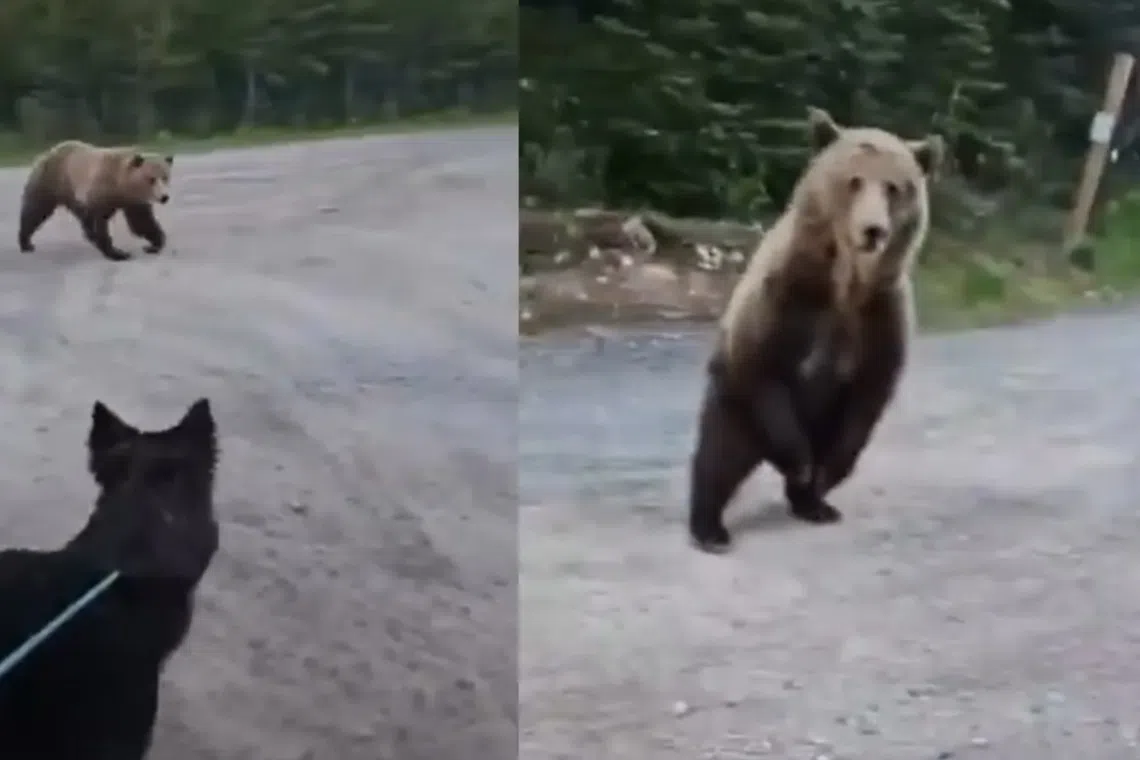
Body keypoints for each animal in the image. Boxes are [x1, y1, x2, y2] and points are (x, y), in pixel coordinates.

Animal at [18, 140, 173, 262]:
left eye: (165, 177)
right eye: (151, 179)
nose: (164, 197)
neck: (121, 184)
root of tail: (47, 152)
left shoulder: (132, 201)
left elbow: (141, 221)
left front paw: (153, 245)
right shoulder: (102, 189)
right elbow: (101, 222)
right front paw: (118, 253)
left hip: (72, 192)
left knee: (82, 214)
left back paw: (90, 235)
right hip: (52, 180)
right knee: (36, 210)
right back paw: (26, 243)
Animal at [686, 106, 944, 553]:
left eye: (894, 187)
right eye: (854, 180)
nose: (873, 230)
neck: (845, 283)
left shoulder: (880, 315)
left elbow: (869, 395)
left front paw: (822, 476)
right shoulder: (786, 295)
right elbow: (764, 367)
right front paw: (801, 462)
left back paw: (814, 503)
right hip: (734, 408)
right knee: (718, 459)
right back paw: (711, 527)